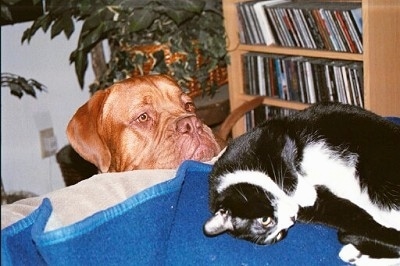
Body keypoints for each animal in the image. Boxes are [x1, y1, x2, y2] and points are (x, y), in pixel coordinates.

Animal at [205, 103, 398, 264]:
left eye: (265, 220)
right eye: (279, 234)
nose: (292, 218)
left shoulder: (270, 136)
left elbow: (285, 161)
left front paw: (305, 193)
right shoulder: (323, 207)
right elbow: (353, 217)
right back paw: (354, 254)